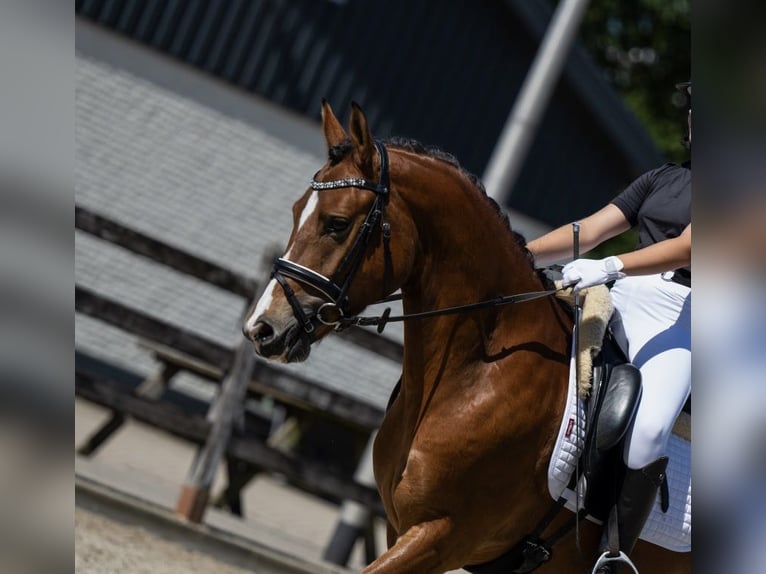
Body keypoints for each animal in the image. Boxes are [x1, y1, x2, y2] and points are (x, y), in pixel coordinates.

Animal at [243, 103, 692, 574]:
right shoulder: (400, 528)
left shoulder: (442, 535)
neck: (479, 371)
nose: (262, 328)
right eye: (297, 210)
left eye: (337, 223)